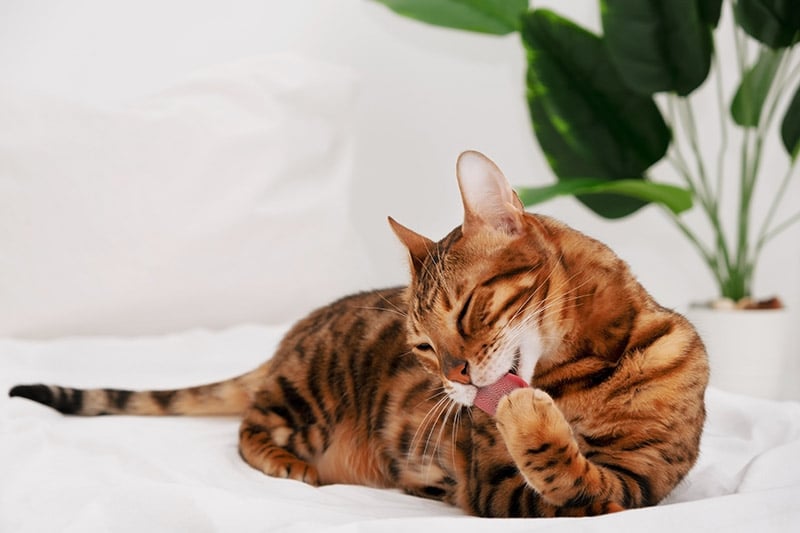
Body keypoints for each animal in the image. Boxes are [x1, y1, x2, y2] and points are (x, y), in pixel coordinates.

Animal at [6, 152, 708, 516]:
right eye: (423, 346)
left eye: (466, 312)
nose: (455, 378)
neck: (585, 369)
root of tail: (287, 341)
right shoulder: (498, 485)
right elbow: (557, 465)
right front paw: (527, 415)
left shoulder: (640, 481)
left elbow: (581, 477)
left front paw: (529, 414)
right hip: (307, 398)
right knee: (248, 426)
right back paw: (288, 464)